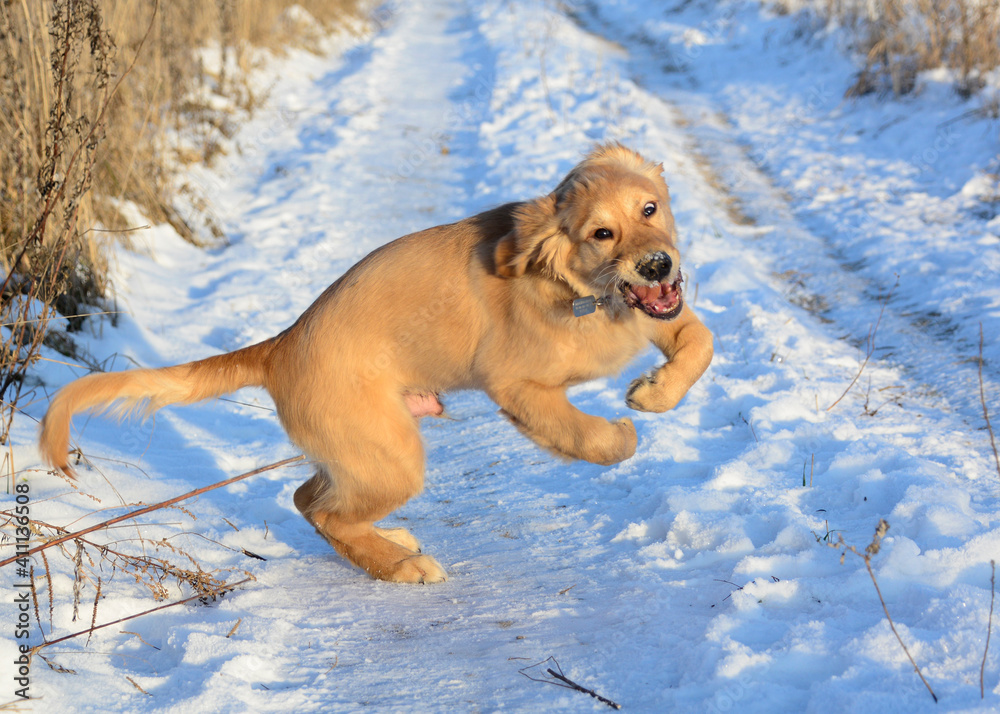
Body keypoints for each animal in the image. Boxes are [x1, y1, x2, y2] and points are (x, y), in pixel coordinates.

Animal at [39, 142, 712, 580]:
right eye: (601, 233)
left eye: (649, 209)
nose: (657, 265)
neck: (584, 292)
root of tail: (280, 345)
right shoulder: (516, 385)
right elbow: (588, 436)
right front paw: (623, 429)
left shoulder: (660, 313)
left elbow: (700, 342)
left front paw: (655, 390)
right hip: (392, 456)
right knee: (325, 511)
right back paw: (401, 567)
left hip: (365, 452)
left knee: (308, 499)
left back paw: (389, 546)